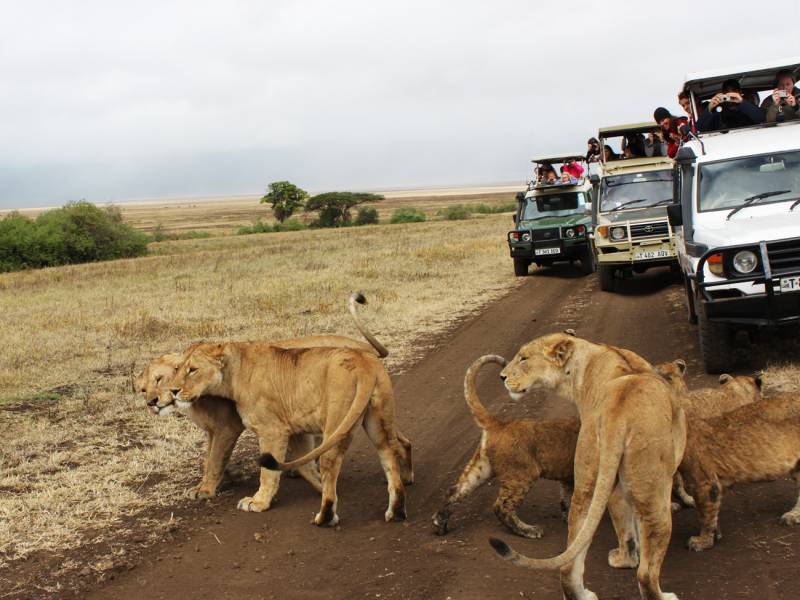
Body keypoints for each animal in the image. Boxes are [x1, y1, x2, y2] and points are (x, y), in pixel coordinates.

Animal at [138, 292, 394, 500]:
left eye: (159, 379)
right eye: (142, 389)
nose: (152, 402)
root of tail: (359, 346)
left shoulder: (227, 427)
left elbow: (214, 459)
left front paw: (207, 490)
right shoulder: (213, 431)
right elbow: (209, 458)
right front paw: (223, 479)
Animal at [170, 340, 416, 528]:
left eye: (192, 370)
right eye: (177, 369)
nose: (173, 391)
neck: (235, 372)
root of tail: (363, 363)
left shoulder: (272, 429)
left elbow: (268, 473)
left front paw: (259, 502)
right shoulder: (296, 429)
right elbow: (305, 466)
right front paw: (321, 488)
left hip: (337, 420)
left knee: (330, 462)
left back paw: (325, 517)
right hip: (378, 420)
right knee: (389, 454)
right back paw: (396, 511)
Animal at [432, 354, 576, 540]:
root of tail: (500, 424)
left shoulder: (569, 478)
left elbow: (568, 498)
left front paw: (569, 518)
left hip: (481, 469)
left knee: (455, 491)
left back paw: (440, 524)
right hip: (522, 474)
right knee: (501, 506)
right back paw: (530, 530)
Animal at [488, 332, 688, 600]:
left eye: (524, 358)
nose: (502, 377)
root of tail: (617, 417)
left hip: (588, 479)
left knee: (569, 562)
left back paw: (583, 591)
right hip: (654, 493)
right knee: (646, 573)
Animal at [676, 394, 800, 552]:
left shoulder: (705, 483)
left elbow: (704, 513)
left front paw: (702, 541)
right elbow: (710, 512)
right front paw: (716, 534)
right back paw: (793, 515)